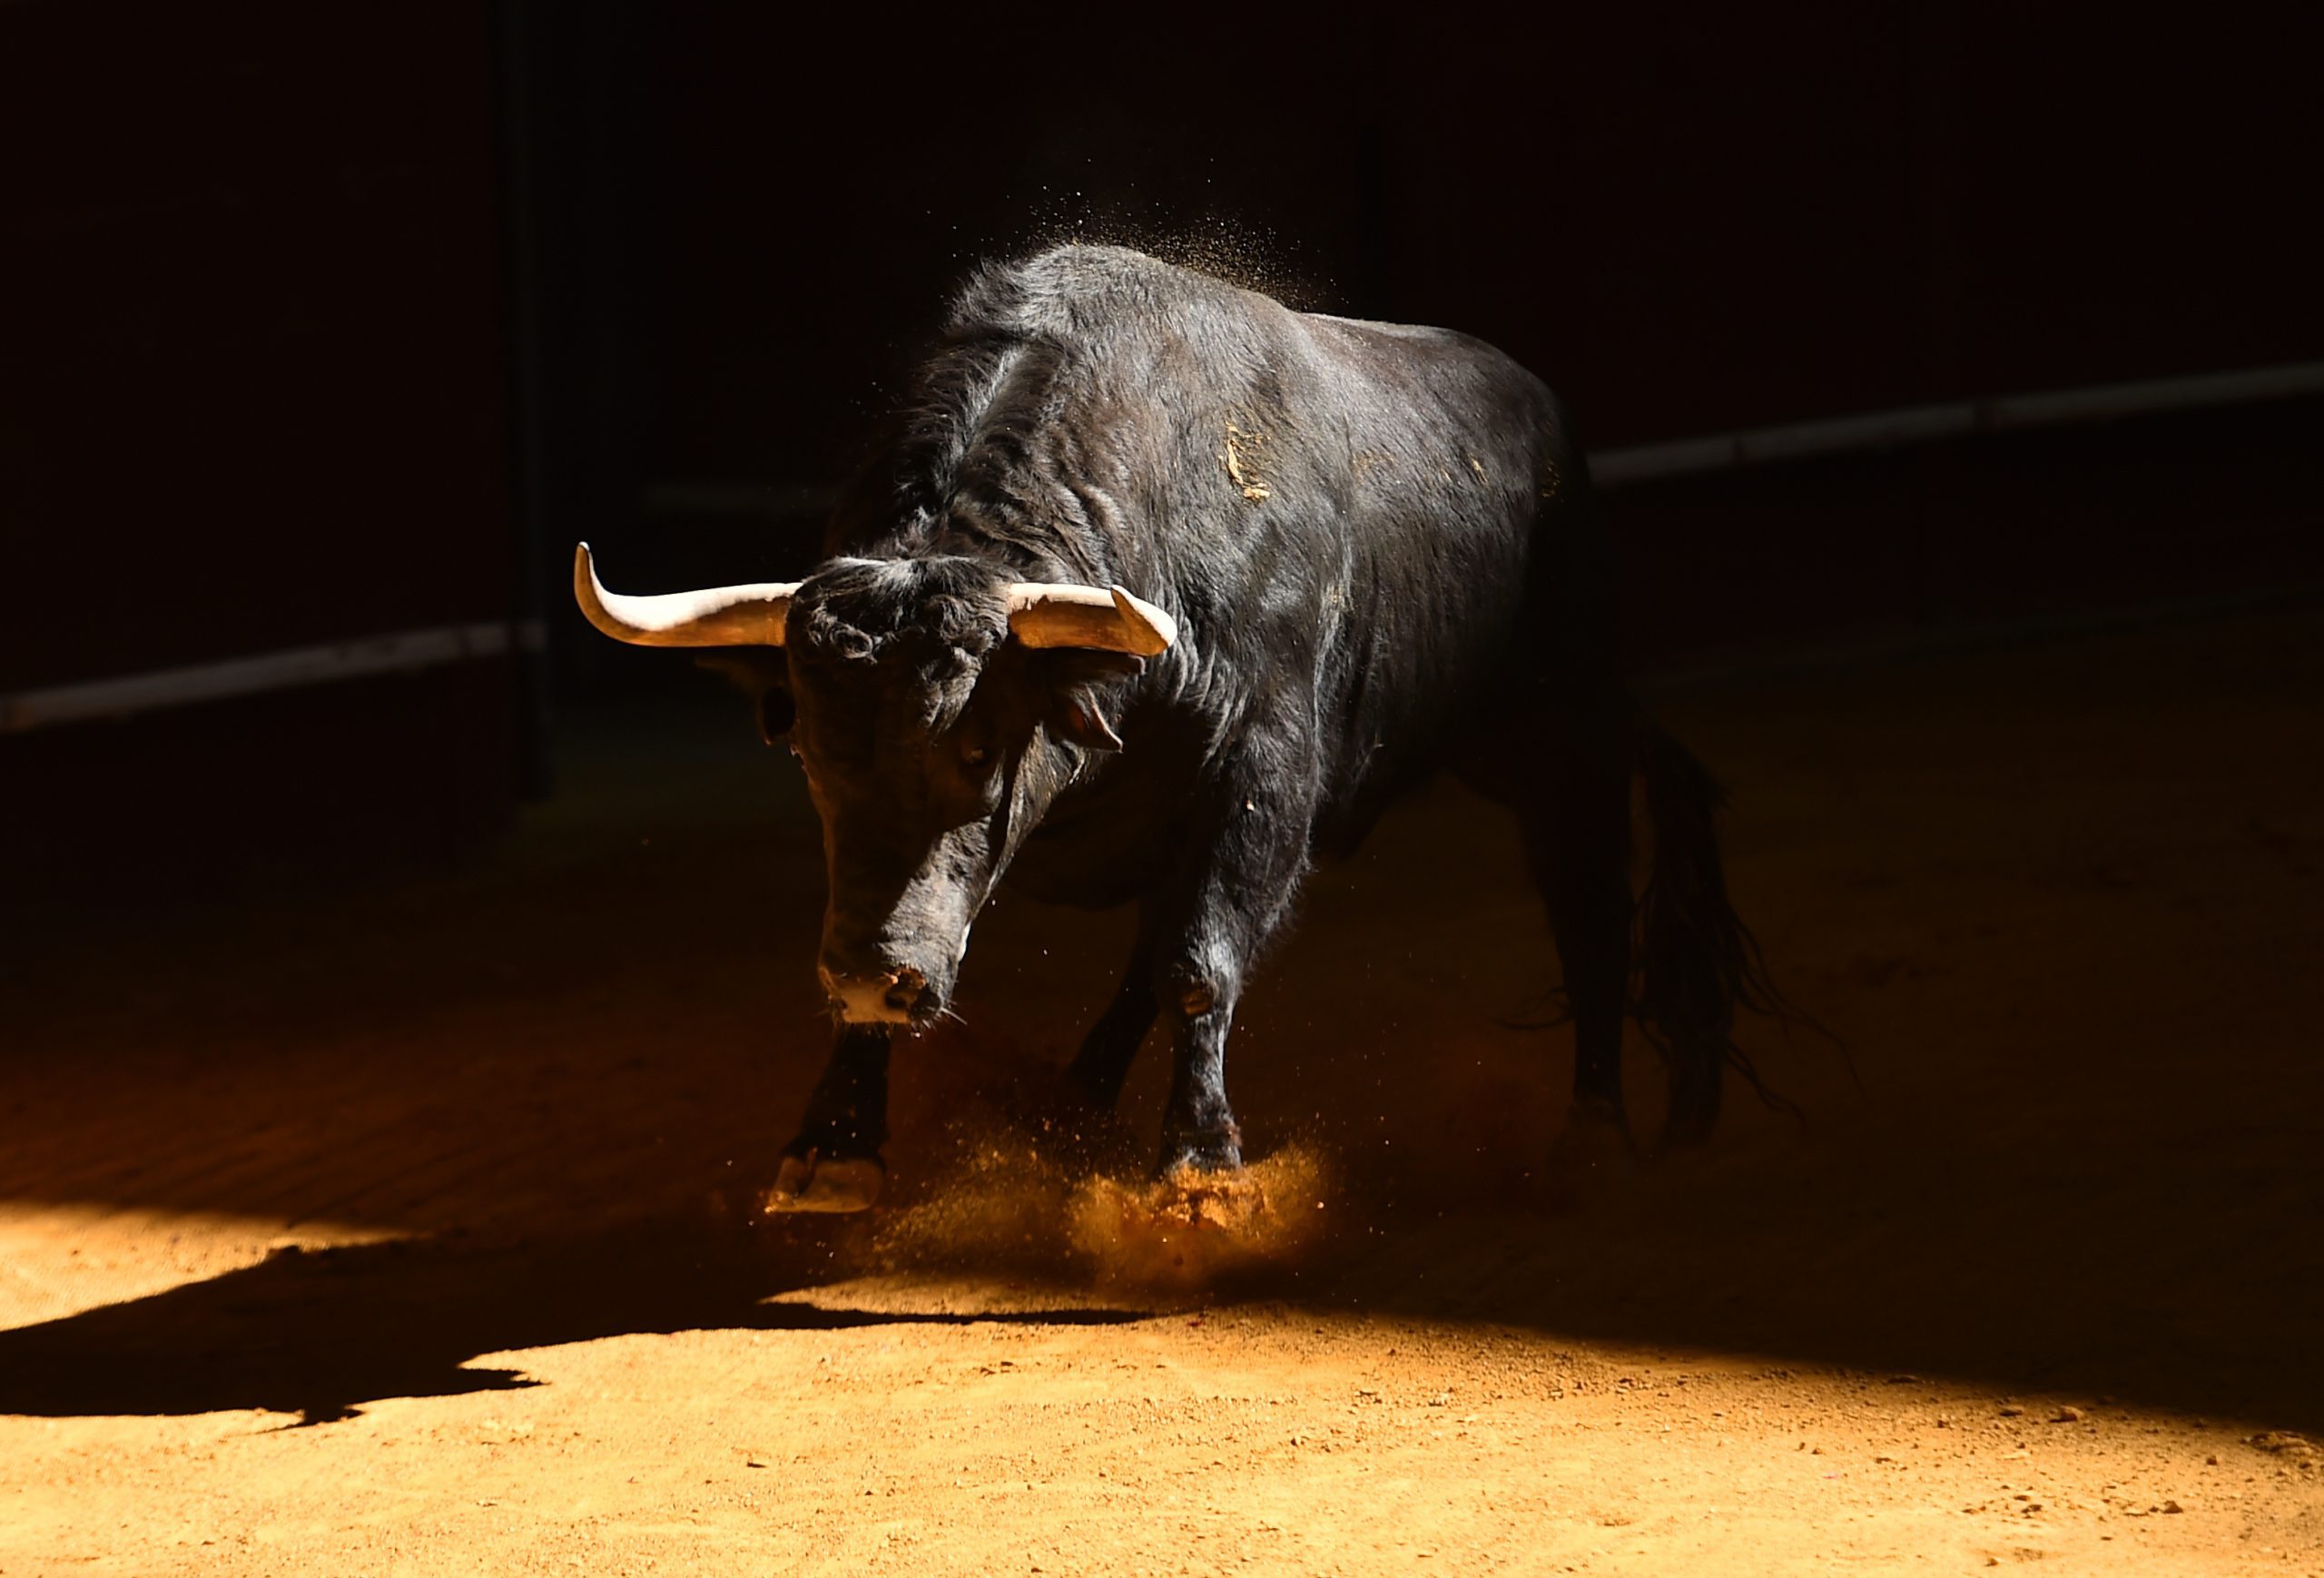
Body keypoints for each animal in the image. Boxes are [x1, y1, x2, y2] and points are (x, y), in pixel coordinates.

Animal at [571, 243, 1785, 1208]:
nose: (880, 979)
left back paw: (1593, 1136)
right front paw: (832, 1148)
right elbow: (1112, 947)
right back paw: (1063, 1107)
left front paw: (1200, 1170)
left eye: (977, 746)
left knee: (1591, 916)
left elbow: (1201, 961)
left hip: (1562, 738)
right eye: (815, 760)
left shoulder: (1262, 775)